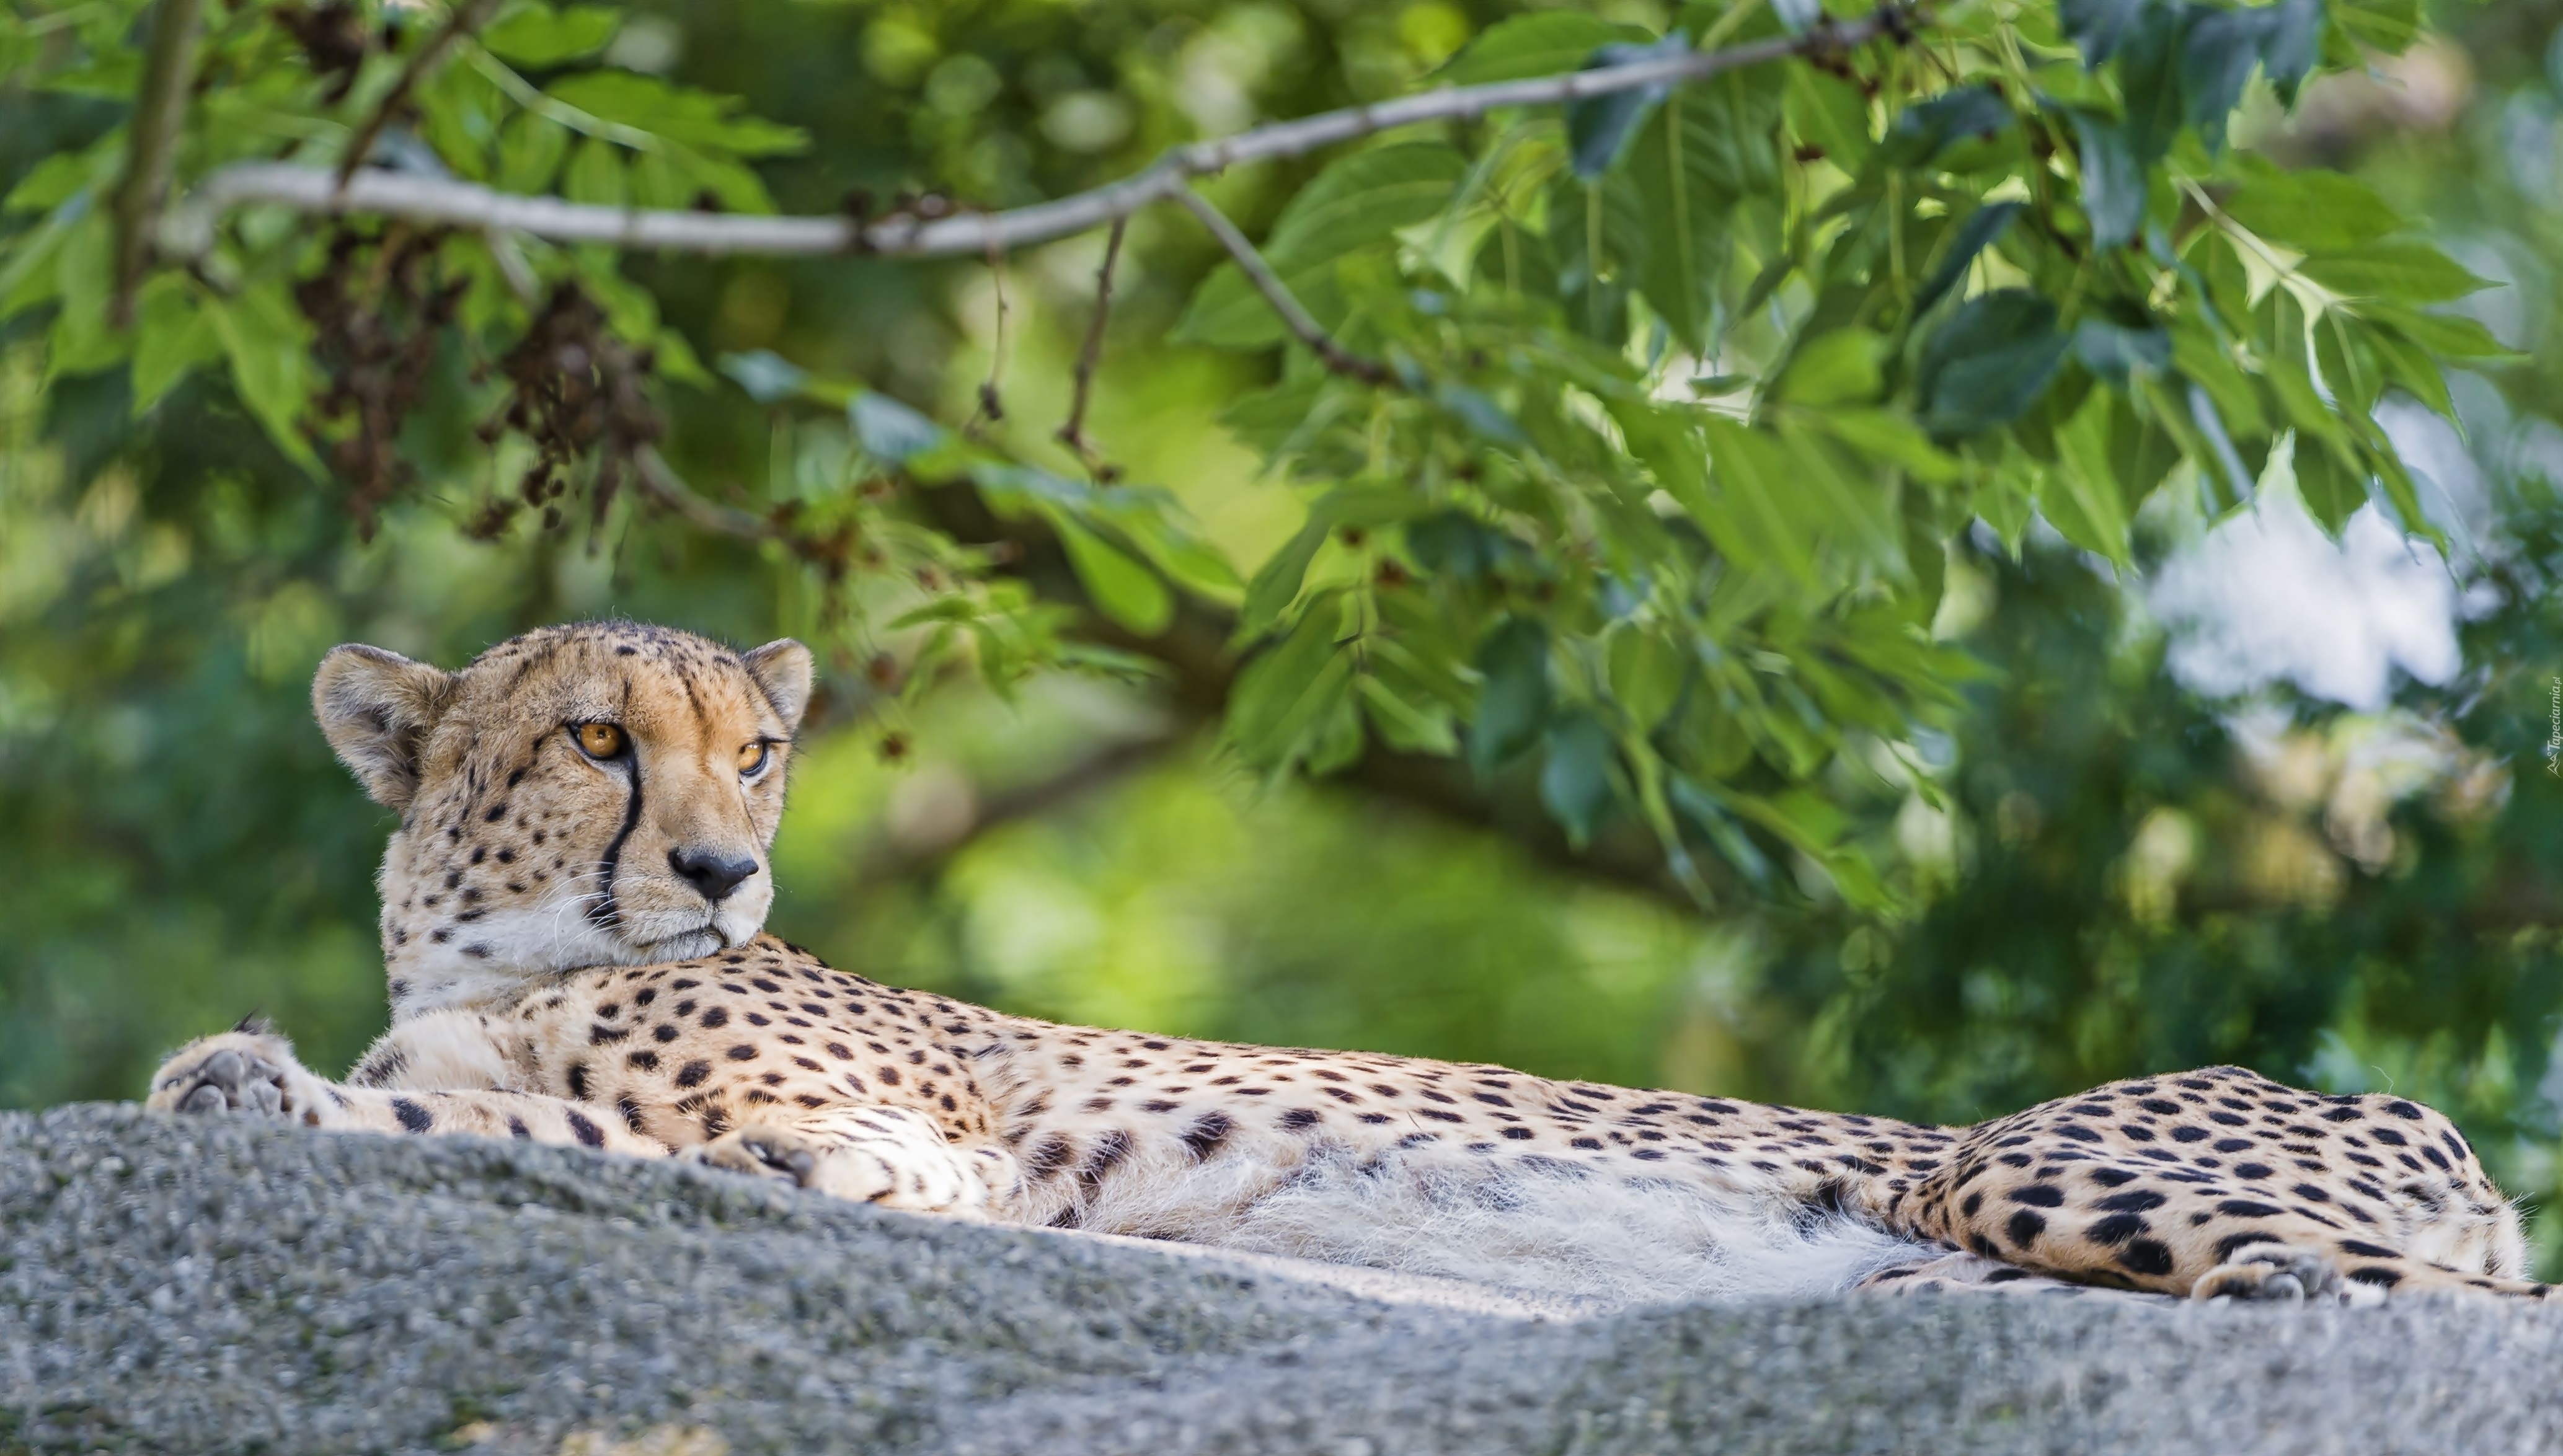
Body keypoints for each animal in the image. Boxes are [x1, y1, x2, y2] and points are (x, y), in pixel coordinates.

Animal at [155, 620, 2542, 1302]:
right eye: (598, 742)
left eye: (754, 748)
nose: (729, 868)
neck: (490, 951)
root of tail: (2397, 1102)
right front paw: (244, 1070)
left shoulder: (893, 1155)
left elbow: (591, 1142)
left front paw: (257, 1077)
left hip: (2021, 1165)